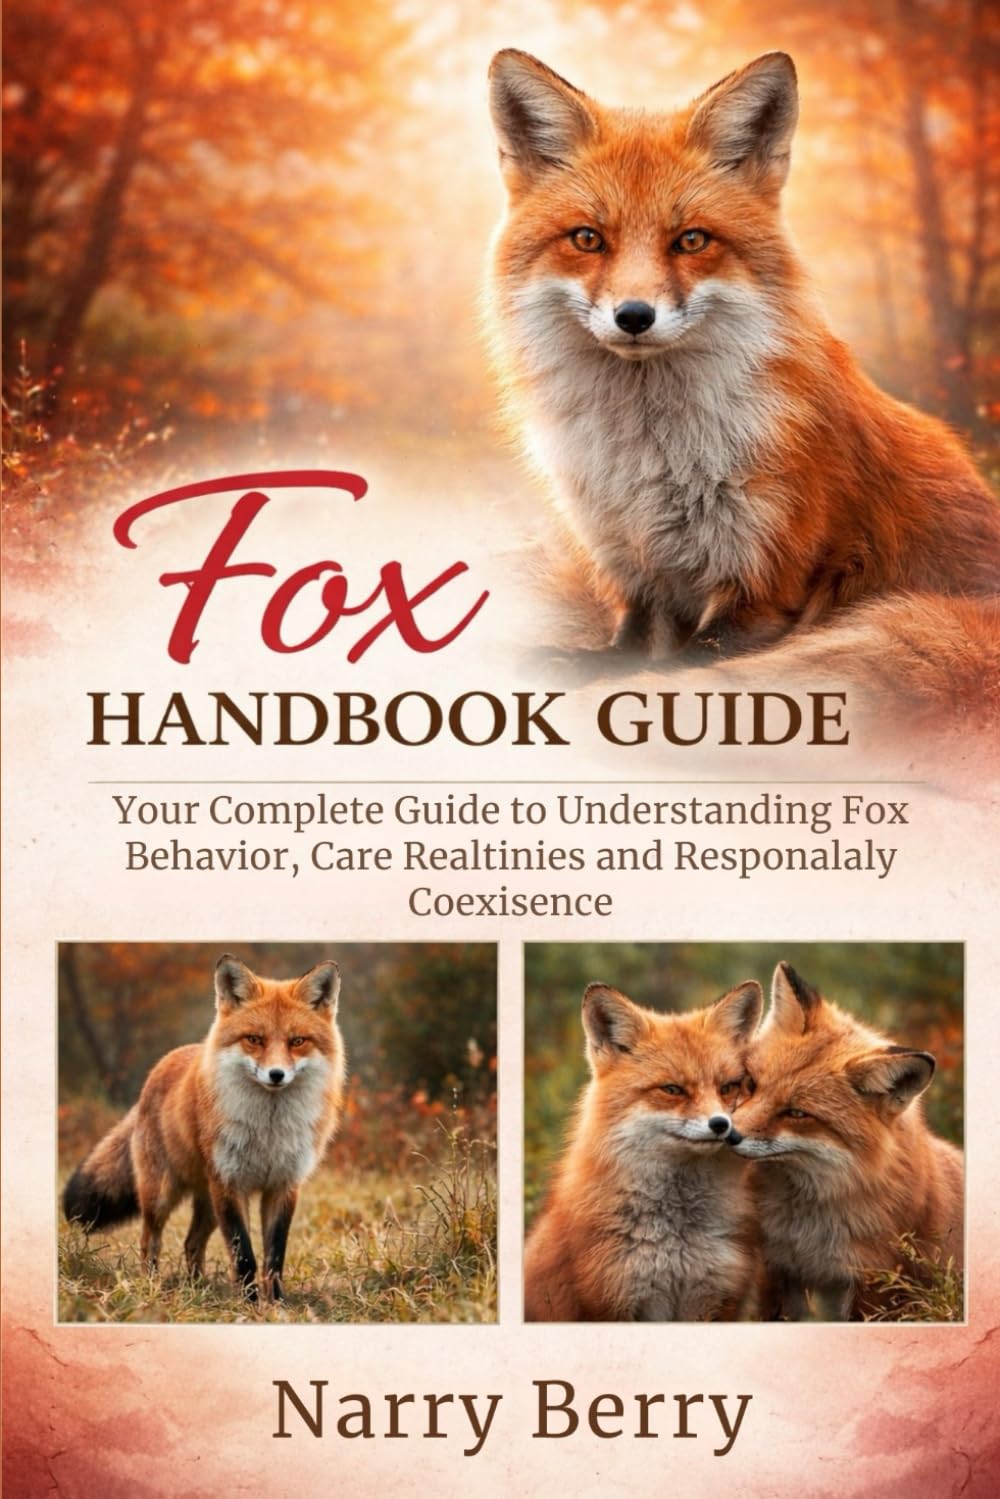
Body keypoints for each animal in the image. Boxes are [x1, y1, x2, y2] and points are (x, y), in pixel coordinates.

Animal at [62, 954, 345, 1303]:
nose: (276, 1074)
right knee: (149, 1240)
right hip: (163, 1194)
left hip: (208, 1203)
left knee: (191, 1242)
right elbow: (244, 1254)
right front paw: (251, 1303)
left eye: (297, 1042)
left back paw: (198, 1287)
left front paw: (277, 1303)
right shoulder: (230, 1183)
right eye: (254, 1039)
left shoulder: (284, 1185)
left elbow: (274, 1256)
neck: (269, 1131)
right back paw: (152, 1285)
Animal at [487, 50, 1000, 718]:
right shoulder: (632, 560)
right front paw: (577, 663)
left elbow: (675, 669)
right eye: (587, 239)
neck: (647, 457)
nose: (634, 316)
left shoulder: (766, 579)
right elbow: (628, 645)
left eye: (691, 240)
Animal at [524, 978, 762, 1321]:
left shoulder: (716, 1299)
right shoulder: (611, 1301)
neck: (678, 1238)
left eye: (728, 1087)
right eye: (672, 1089)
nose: (721, 1124)